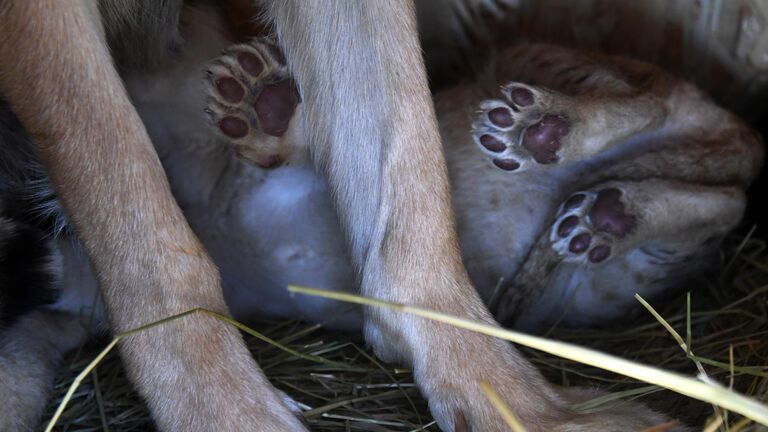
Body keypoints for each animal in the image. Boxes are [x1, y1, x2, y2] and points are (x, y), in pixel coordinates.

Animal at [0, 0, 760, 432]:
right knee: (715, 201)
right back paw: (605, 211)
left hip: (580, 70)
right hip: (626, 257)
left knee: (652, 108)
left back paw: (550, 134)